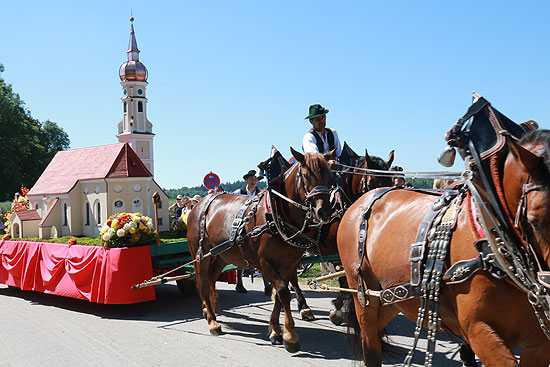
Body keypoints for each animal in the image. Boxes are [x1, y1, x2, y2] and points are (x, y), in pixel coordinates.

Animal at [188, 147, 336, 354]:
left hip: (221, 256)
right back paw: (212, 322)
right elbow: (282, 292)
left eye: (330, 176)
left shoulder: (288, 265)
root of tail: (200, 204)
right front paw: (290, 336)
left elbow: (279, 296)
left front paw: (275, 331)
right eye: (306, 176)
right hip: (201, 254)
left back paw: (209, 309)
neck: (275, 214)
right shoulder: (264, 263)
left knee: (210, 280)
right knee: (202, 282)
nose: (324, 212)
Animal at [338, 131, 550, 366]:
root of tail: (361, 202)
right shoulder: (481, 332)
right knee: (370, 344)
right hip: (363, 295)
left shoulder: (539, 345)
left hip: (391, 298)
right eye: (534, 222)